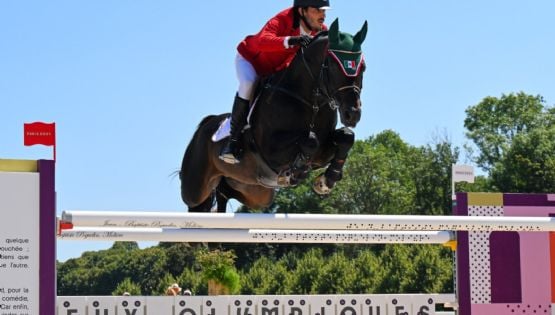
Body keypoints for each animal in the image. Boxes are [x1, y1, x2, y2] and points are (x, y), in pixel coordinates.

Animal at [180, 18, 368, 214]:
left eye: (363, 67)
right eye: (332, 66)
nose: (352, 114)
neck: (311, 101)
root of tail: (205, 124)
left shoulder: (322, 153)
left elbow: (346, 137)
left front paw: (326, 181)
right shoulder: (271, 150)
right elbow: (310, 140)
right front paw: (298, 172)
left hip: (253, 192)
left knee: (224, 194)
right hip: (195, 190)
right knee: (196, 202)